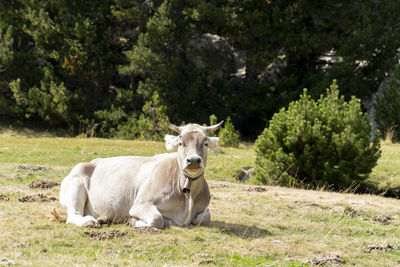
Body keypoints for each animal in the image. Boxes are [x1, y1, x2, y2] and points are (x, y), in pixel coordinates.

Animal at [59, 121, 223, 228]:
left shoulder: (204, 209)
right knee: (73, 215)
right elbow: (157, 219)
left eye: (205, 143)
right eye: (180, 143)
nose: (193, 160)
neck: (187, 197)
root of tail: (92, 162)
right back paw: (90, 222)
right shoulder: (140, 204)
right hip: (76, 185)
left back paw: (103, 219)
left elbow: (204, 218)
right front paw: (132, 221)